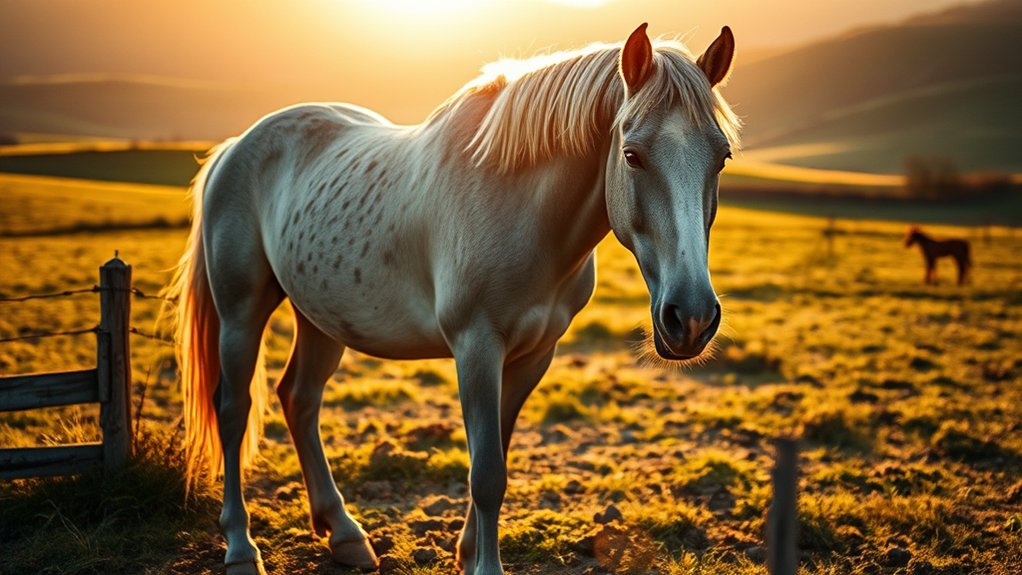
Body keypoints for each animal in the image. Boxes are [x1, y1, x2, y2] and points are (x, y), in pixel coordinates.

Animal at [165, 23, 740, 575]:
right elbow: (486, 473)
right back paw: (241, 548)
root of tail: (236, 146)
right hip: (242, 311)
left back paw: (345, 535)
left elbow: (497, 456)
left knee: (299, 399)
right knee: (233, 409)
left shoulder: (534, 355)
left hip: (320, 318)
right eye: (632, 154)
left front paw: (466, 554)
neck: (520, 207)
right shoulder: (476, 347)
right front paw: (483, 565)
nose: (691, 317)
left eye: (722, 157)